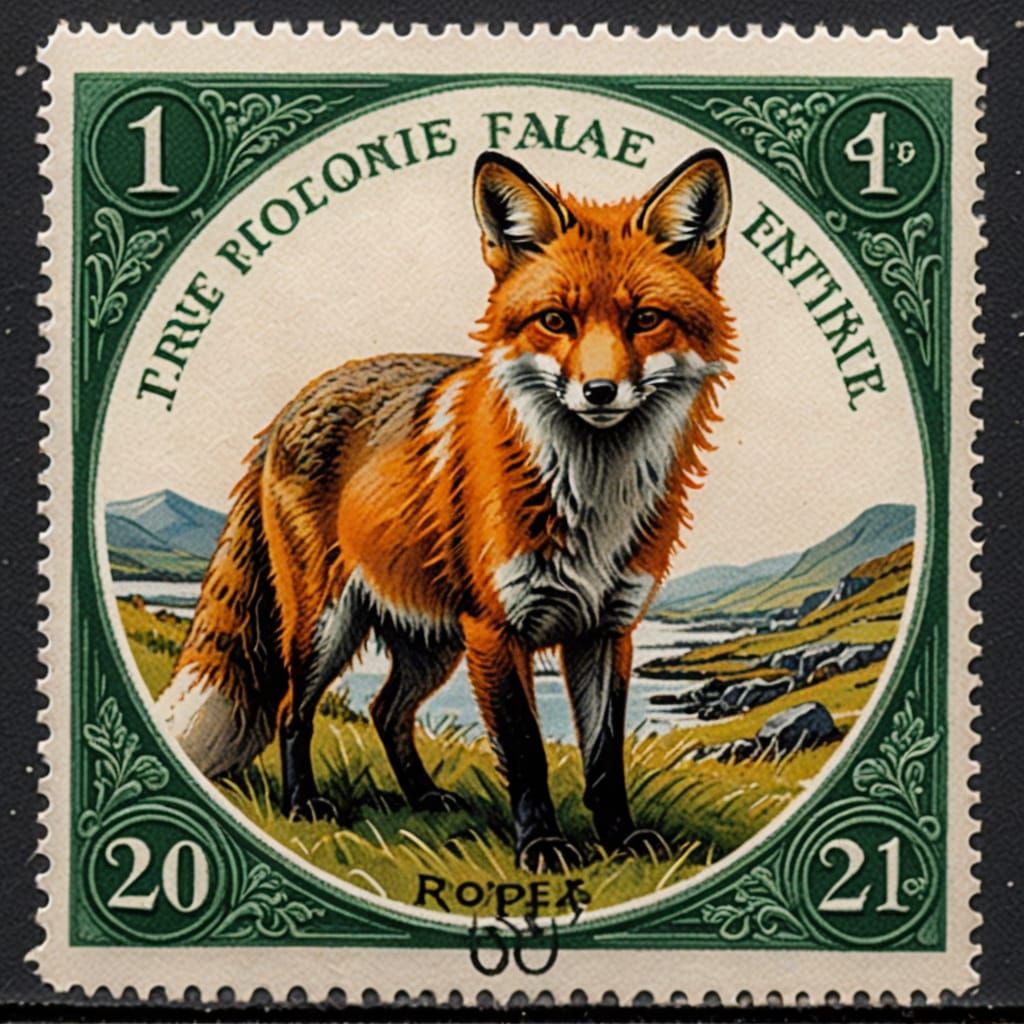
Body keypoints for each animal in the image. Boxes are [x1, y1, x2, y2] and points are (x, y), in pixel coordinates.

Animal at [157, 148, 736, 873]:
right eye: (556, 321)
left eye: (644, 319)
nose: (599, 391)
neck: (589, 498)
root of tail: (293, 403)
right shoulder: (496, 628)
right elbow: (526, 751)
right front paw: (542, 848)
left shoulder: (607, 629)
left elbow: (605, 758)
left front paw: (623, 842)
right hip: (324, 625)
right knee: (294, 708)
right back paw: (303, 804)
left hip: (431, 642)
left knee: (385, 711)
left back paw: (425, 798)